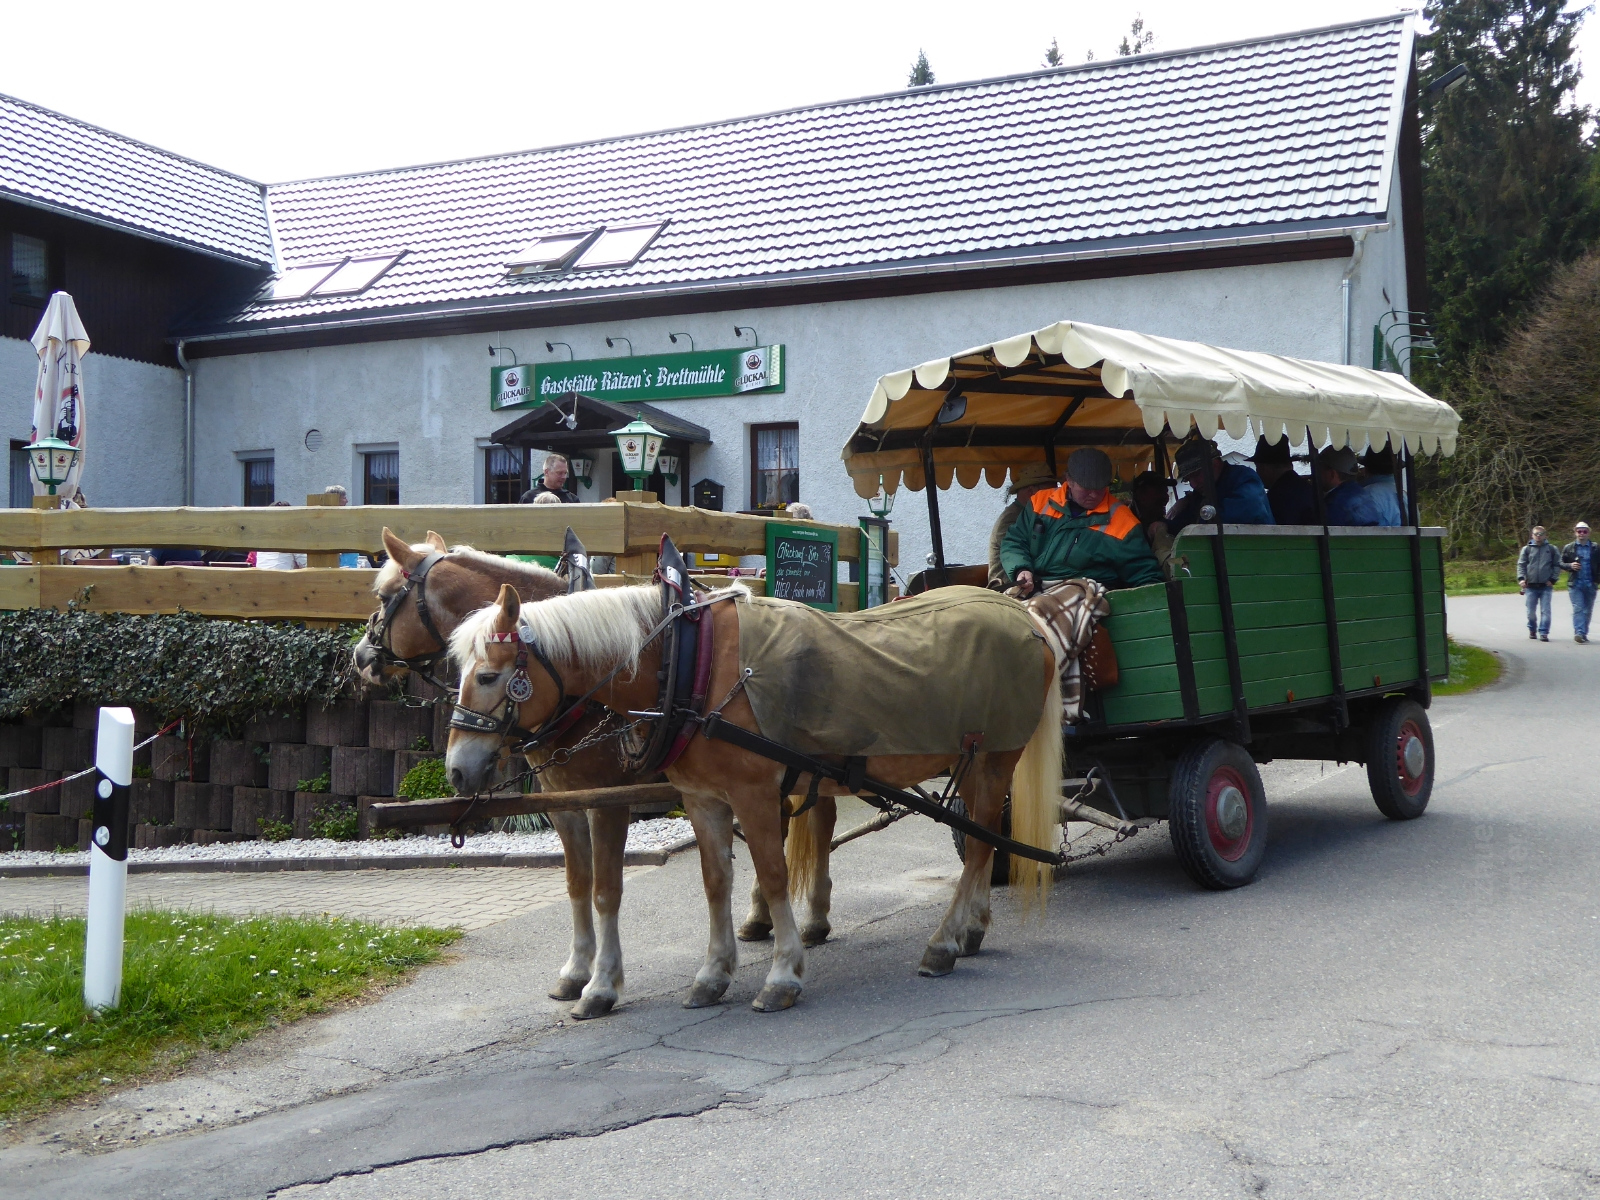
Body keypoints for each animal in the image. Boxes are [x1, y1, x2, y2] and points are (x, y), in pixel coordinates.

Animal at [352, 528, 638, 1019]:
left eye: (386, 596)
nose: (361, 656)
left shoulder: (608, 802)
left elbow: (606, 890)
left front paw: (601, 985)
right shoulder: (562, 803)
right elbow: (577, 883)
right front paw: (576, 972)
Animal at [445, 580, 1064, 1012]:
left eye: (489, 676)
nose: (455, 770)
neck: (689, 666)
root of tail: (1024, 614)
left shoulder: (747, 794)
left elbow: (768, 874)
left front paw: (781, 974)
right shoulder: (701, 799)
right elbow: (715, 881)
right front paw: (713, 973)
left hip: (994, 757)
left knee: (980, 845)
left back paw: (944, 942)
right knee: (984, 840)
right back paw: (972, 928)